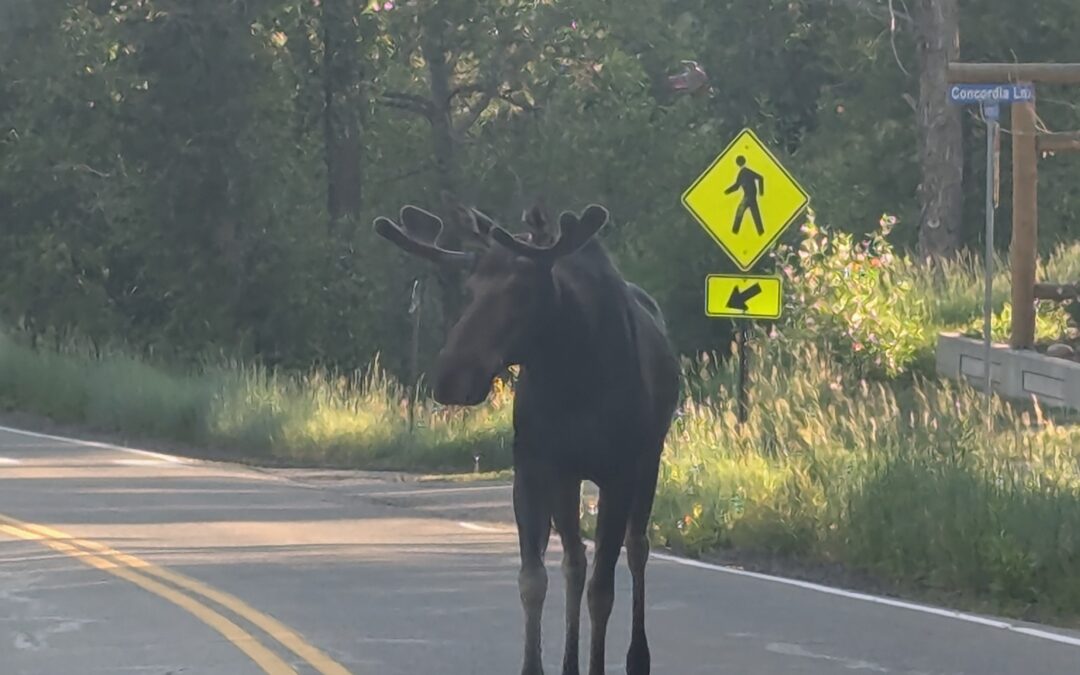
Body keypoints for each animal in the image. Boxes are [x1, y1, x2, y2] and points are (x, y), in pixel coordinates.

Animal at [371, 194, 673, 673]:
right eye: (471, 290)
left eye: (522, 291)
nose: (450, 377)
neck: (572, 377)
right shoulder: (533, 467)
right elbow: (533, 580)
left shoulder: (619, 472)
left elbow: (603, 590)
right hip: (569, 479)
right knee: (574, 560)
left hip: (650, 461)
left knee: (637, 547)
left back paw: (636, 657)